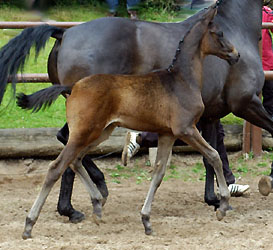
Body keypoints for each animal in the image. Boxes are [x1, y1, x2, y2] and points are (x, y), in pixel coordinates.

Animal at [18, 3, 237, 238]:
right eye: (220, 33)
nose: (236, 54)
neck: (181, 79)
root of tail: (73, 87)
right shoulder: (186, 129)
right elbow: (214, 155)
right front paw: (223, 205)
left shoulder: (167, 134)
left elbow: (158, 173)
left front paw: (147, 220)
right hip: (85, 133)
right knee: (56, 167)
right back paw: (30, 224)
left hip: (100, 133)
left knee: (75, 160)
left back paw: (97, 205)